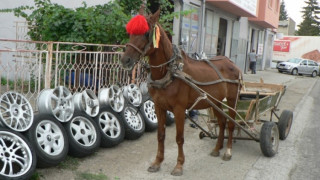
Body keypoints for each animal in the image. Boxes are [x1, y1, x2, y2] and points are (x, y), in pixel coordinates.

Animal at [121, 8, 241, 176]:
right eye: (130, 32)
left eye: (146, 33)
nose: (125, 60)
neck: (170, 73)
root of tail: (231, 62)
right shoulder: (159, 106)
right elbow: (160, 135)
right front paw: (157, 162)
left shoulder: (179, 109)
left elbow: (179, 138)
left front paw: (179, 165)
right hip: (215, 101)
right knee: (222, 122)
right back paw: (217, 148)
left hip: (231, 100)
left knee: (231, 124)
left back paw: (228, 151)